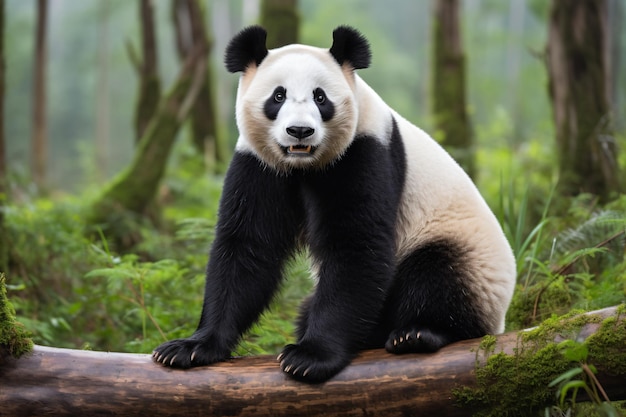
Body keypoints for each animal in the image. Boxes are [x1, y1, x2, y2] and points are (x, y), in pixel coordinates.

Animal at [154, 25, 516, 384]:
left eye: (320, 97)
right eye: (278, 96)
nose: (300, 131)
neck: (302, 166)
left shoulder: (364, 150)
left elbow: (355, 244)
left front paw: (310, 356)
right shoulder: (258, 164)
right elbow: (247, 246)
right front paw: (193, 347)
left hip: (468, 254)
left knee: (437, 275)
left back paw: (417, 333)